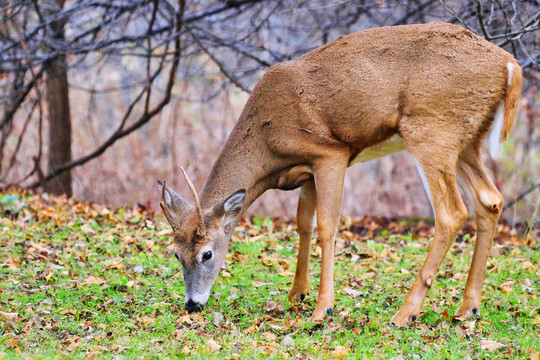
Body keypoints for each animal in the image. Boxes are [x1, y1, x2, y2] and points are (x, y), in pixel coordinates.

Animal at [158, 21, 520, 328]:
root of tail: (509, 65)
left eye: (207, 253)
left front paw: (323, 309)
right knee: (490, 200)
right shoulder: (305, 173)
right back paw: (466, 308)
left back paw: (406, 313)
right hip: (467, 143)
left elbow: (327, 225)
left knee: (451, 213)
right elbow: (303, 223)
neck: (266, 141)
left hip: (431, 132)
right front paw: (297, 294)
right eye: (175, 253)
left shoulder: (331, 153)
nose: (192, 304)